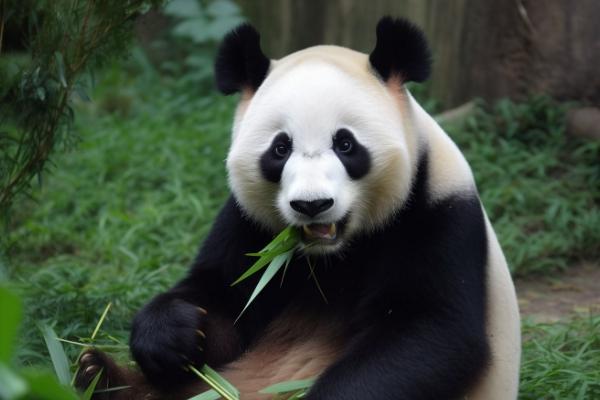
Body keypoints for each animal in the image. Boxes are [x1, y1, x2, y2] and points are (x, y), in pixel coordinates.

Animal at [75, 17, 520, 400]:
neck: (331, 256)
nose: (312, 205)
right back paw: (98, 374)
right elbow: (224, 301)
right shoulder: (250, 223)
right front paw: (172, 336)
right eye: (280, 148)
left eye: (346, 144)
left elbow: (429, 333)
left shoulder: (437, 213)